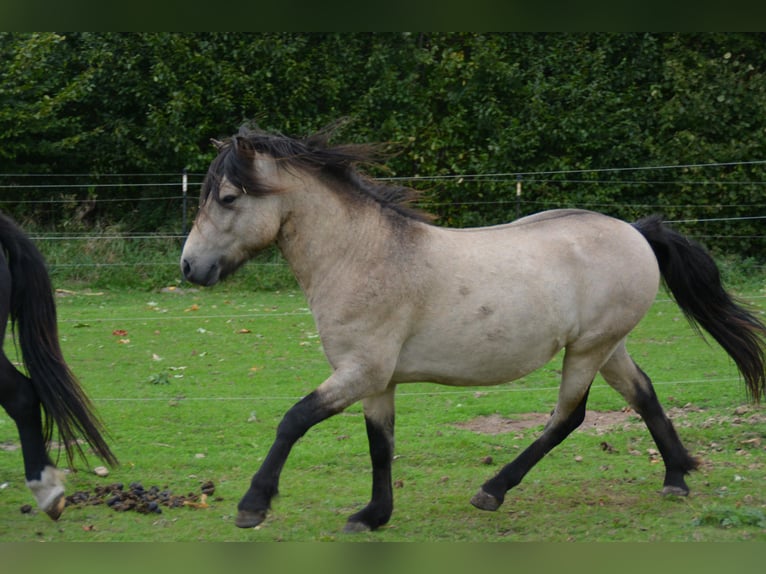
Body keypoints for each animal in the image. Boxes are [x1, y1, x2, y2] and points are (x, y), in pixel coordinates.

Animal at [181, 125, 765, 533]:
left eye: (227, 197)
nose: (189, 267)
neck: (364, 256)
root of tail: (636, 232)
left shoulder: (359, 371)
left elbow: (293, 420)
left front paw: (252, 506)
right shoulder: (377, 381)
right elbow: (380, 445)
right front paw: (373, 515)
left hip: (587, 351)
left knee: (568, 418)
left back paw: (493, 490)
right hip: (607, 347)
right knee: (643, 396)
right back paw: (675, 479)